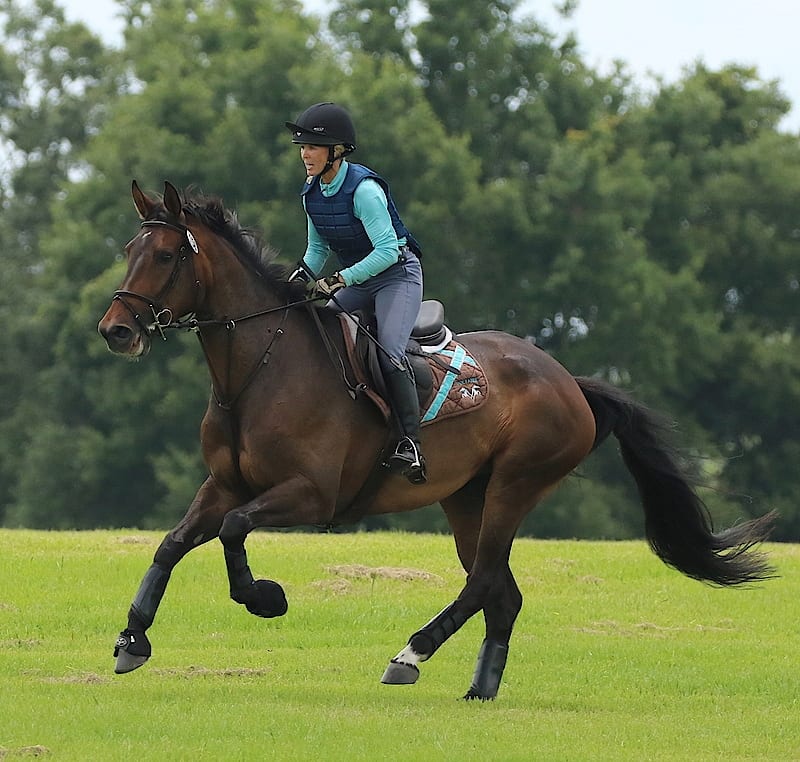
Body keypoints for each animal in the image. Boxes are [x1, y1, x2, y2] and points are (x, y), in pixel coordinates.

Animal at [95, 181, 776, 696]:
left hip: (514, 484)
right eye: (130, 248)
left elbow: (233, 531)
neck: (260, 367)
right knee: (501, 592)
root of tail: (569, 382)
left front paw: (265, 598)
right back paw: (480, 688)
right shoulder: (225, 483)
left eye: (165, 256)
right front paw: (133, 638)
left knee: (483, 581)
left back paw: (409, 656)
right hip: (466, 496)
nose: (115, 331)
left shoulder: (310, 494)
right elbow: (173, 543)